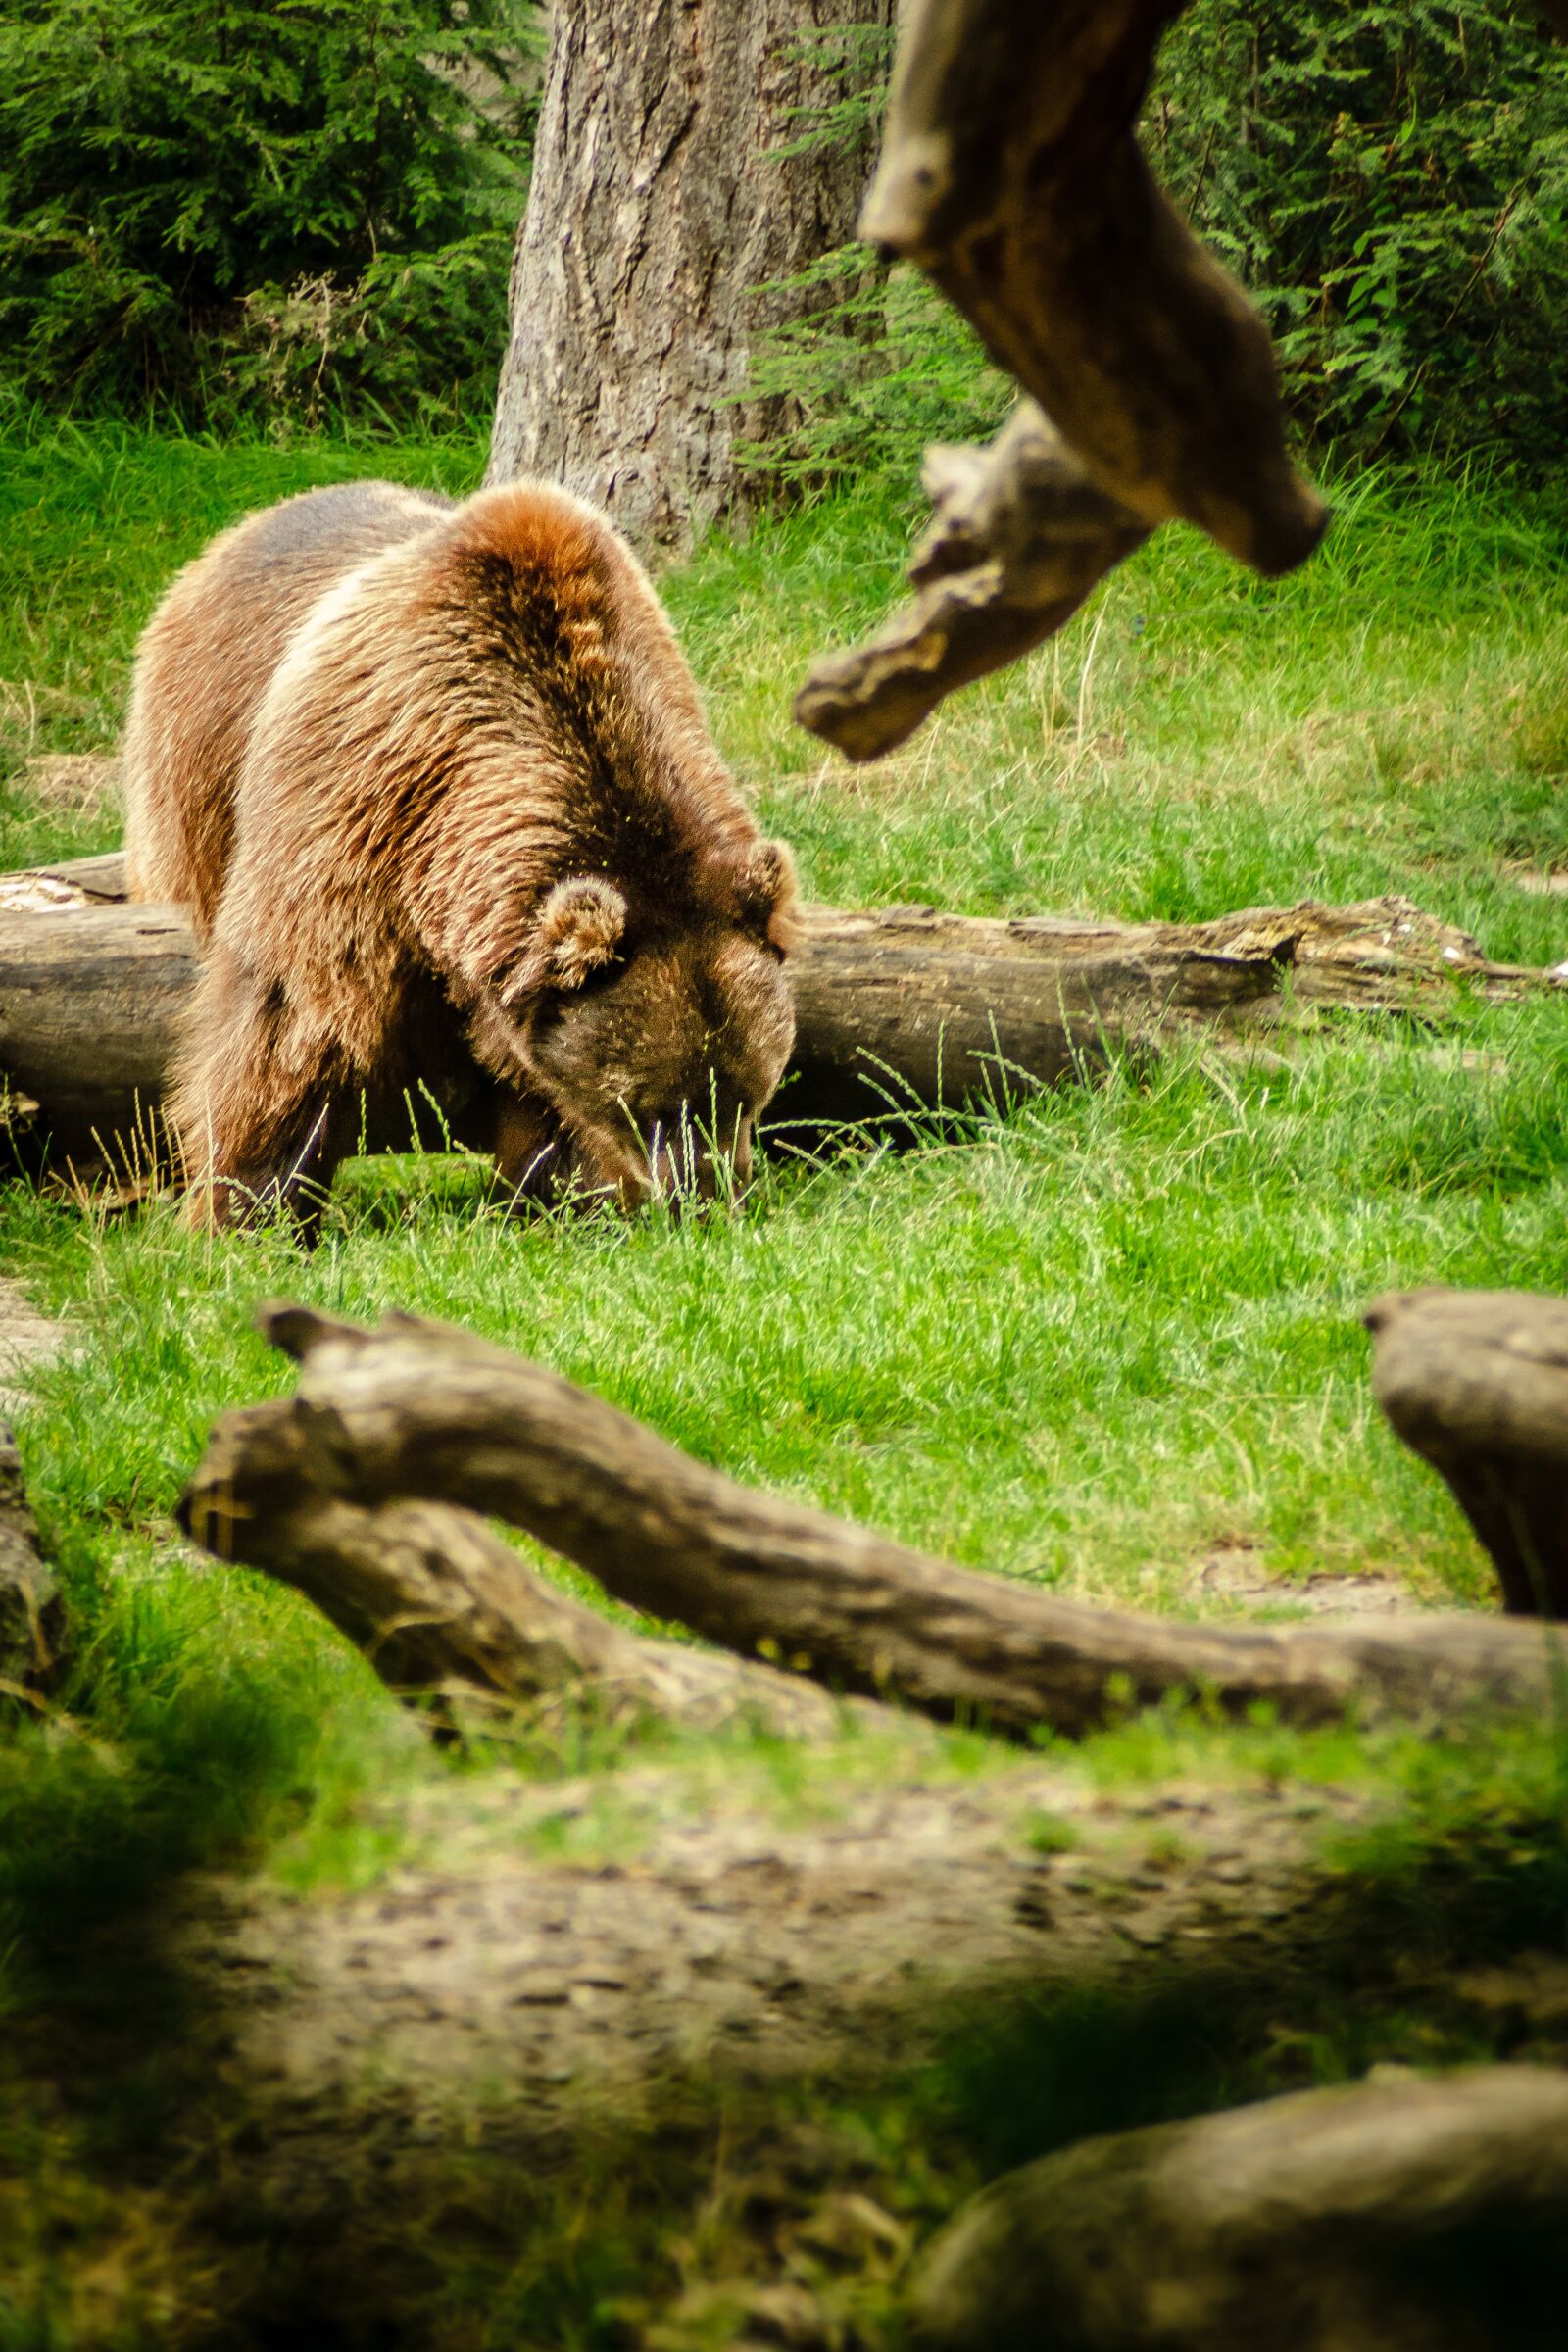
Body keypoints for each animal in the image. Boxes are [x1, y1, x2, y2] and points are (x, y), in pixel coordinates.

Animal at [121, 478, 799, 1231]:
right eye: (646, 1104)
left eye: (747, 1094)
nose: (704, 1197)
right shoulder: (357, 805)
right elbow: (295, 1025)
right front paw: (249, 1205)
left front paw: (561, 1183)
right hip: (194, 778)